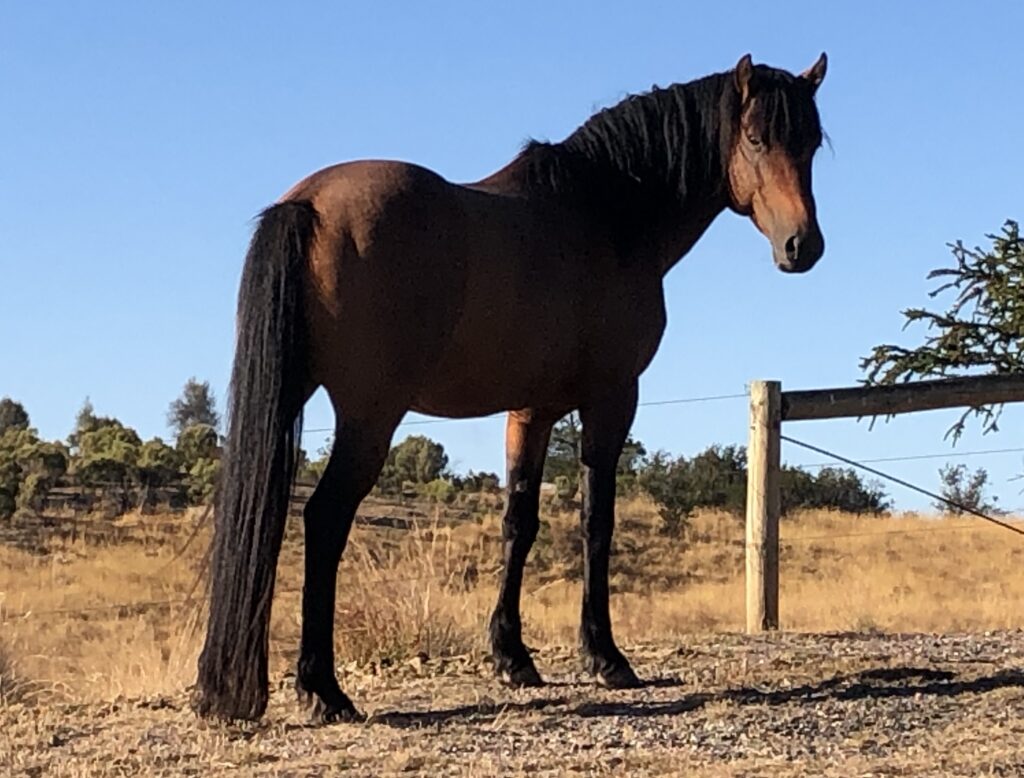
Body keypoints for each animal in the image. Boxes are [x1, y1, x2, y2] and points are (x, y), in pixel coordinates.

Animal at [193, 52, 829, 723]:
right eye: (756, 138)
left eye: (811, 142)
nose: (802, 245)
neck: (604, 216)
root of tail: (308, 204)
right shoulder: (611, 398)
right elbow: (595, 522)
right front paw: (606, 658)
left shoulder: (530, 412)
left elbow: (518, 523)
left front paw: (513, 657)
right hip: (369, 417)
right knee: (324, 520)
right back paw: (323, 689)